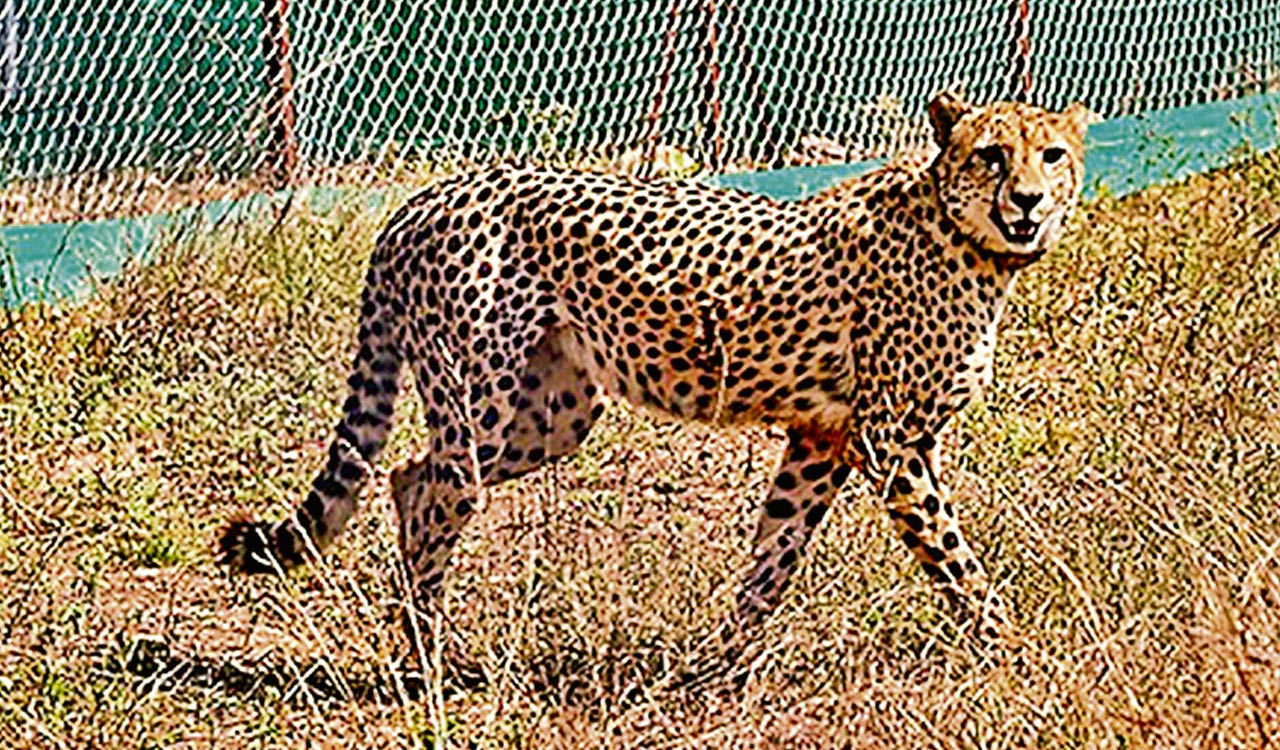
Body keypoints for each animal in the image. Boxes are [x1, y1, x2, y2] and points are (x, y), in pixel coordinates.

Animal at [220, 92, 1093, 669]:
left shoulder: (823, 438)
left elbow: (774, 555)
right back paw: (428, 663)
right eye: (991, 154)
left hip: (553, 417)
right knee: (439, 491)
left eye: (1052, 155)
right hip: (482, 400)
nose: (1028, 200)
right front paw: (1012, 649)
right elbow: (953, 556)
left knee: (408, 476)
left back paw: (422, 642)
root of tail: (424, 199)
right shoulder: (888, 443)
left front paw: (720, 666)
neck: (966, 236)